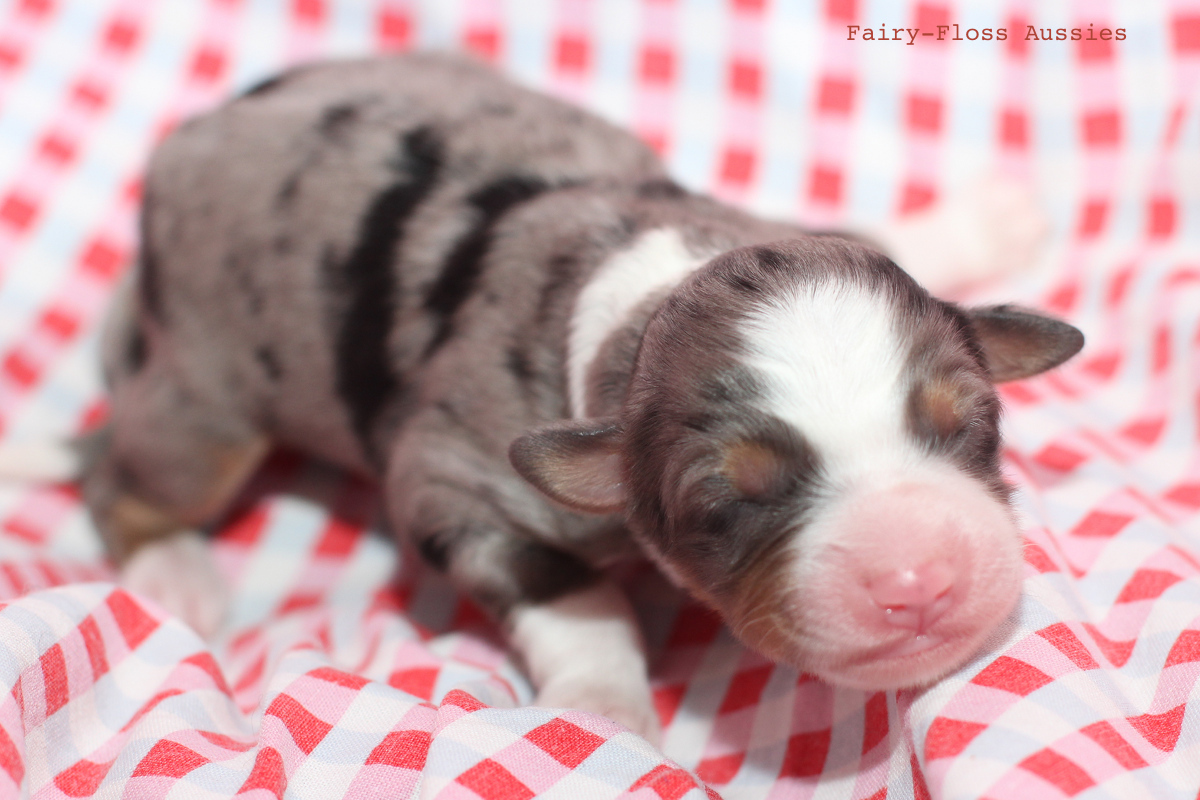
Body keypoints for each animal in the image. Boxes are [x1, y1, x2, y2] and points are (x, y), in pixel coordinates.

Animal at [60, 54, 1084, 743]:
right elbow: (575, 597)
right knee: (122, 473)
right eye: (723, 504)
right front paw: (601, 712)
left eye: (977, 424)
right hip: (208, 399)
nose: (922, 582)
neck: (646, 276)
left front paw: (977, 221)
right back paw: (173, 572)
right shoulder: (455, 482)